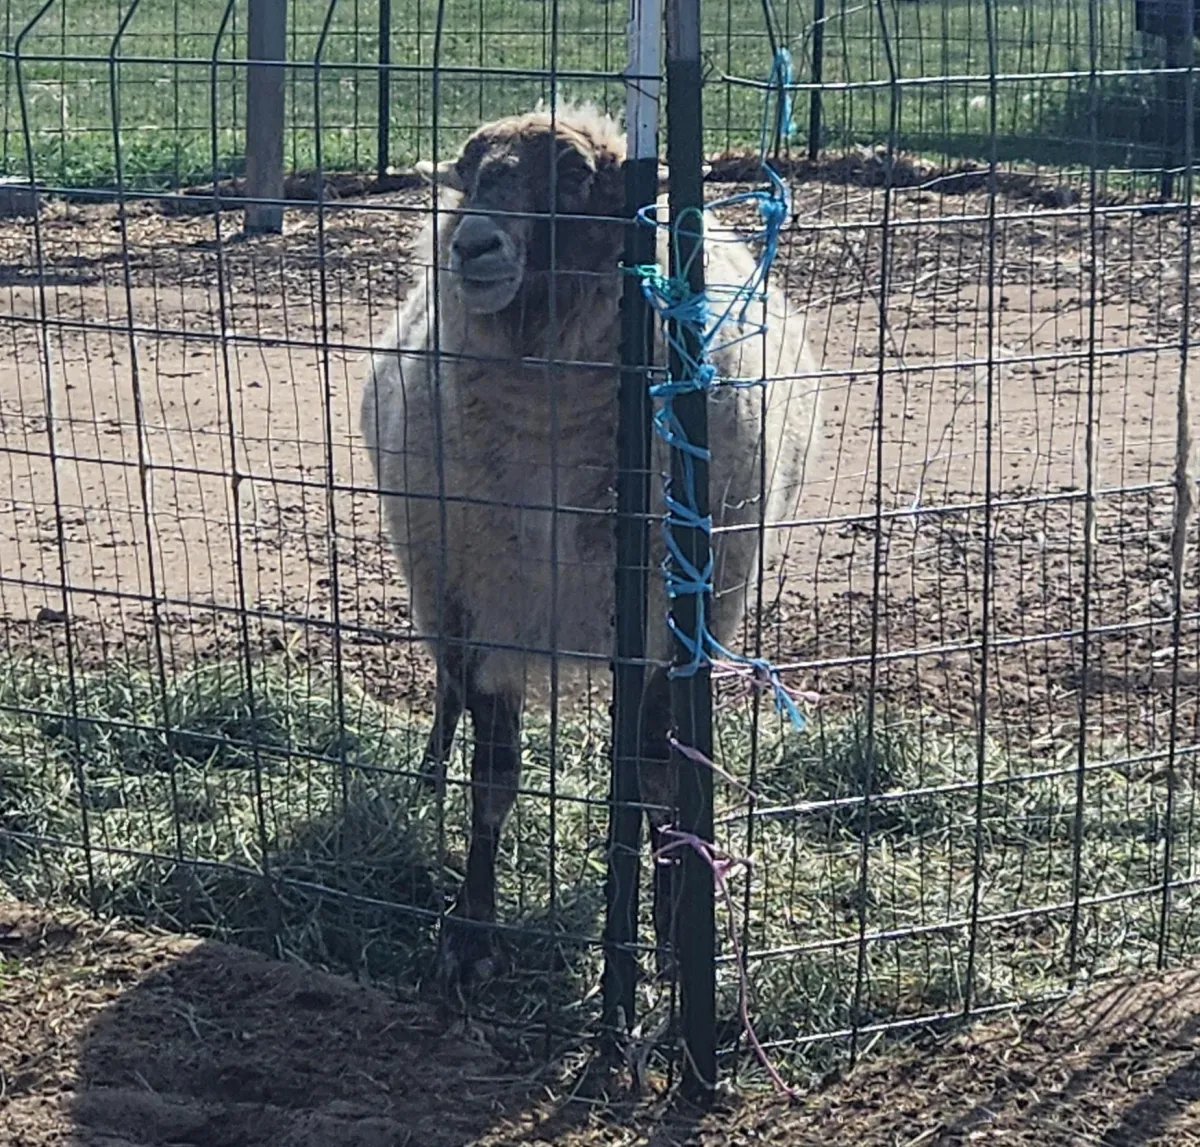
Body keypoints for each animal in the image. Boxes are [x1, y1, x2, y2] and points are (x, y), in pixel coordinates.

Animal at [360, 103, 825, 990]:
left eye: (576, 177)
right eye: (470, 173)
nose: (472, 246)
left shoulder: (664, 626)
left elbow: (657, 781)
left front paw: (672, 936)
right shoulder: (491, 603)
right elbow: (494, 779)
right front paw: (470, 934)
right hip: (439, 588)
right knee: (445, 686)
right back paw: (430, 769)